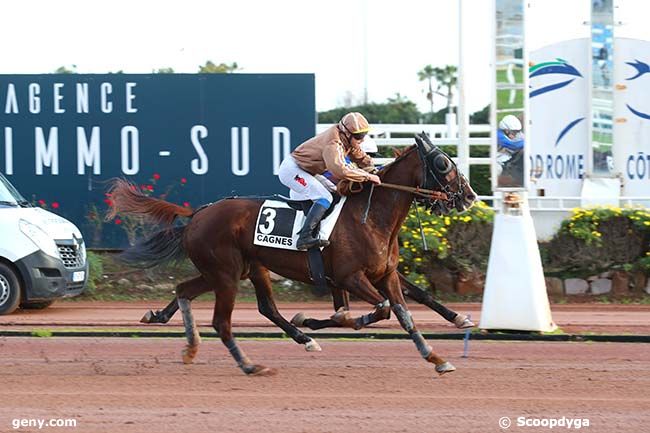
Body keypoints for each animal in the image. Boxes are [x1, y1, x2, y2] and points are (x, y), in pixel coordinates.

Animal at [109, 133, 476, 376]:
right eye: (443, 163)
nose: (469, 196)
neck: (370, 216)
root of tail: (199, 212)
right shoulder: (349, 277)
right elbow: (382, 309)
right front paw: (341, 319)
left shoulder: (384, 275)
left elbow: (405, 312)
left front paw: (436, 357)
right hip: (226, 274)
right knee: (222, 320)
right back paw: (250, 364)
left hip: (240, 269)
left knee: (210, 295)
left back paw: (189, 342)